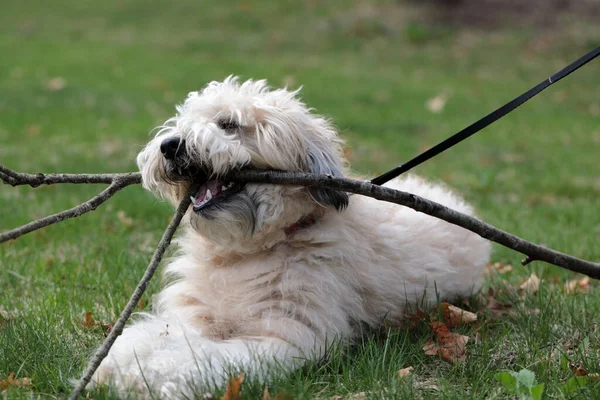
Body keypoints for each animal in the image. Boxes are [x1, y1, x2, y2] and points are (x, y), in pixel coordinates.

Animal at [92, 76, 488, 398]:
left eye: (228, 124)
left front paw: (157, 378)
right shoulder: (194, 317)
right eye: (182, 123)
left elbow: (205, 358)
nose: (169, 146)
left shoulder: (285, 335)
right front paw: (116, 366)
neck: (245, 254)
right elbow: (149, 337)